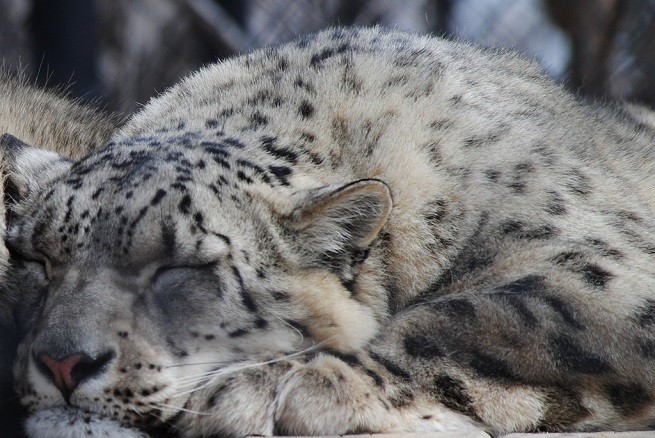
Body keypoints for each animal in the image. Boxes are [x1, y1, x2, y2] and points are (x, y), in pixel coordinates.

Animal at [4, 26, 655, 437]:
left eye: (179, 268)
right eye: (37, 260)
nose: (62, 362)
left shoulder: (602, 270)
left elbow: (468, 321)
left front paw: (274, 386)